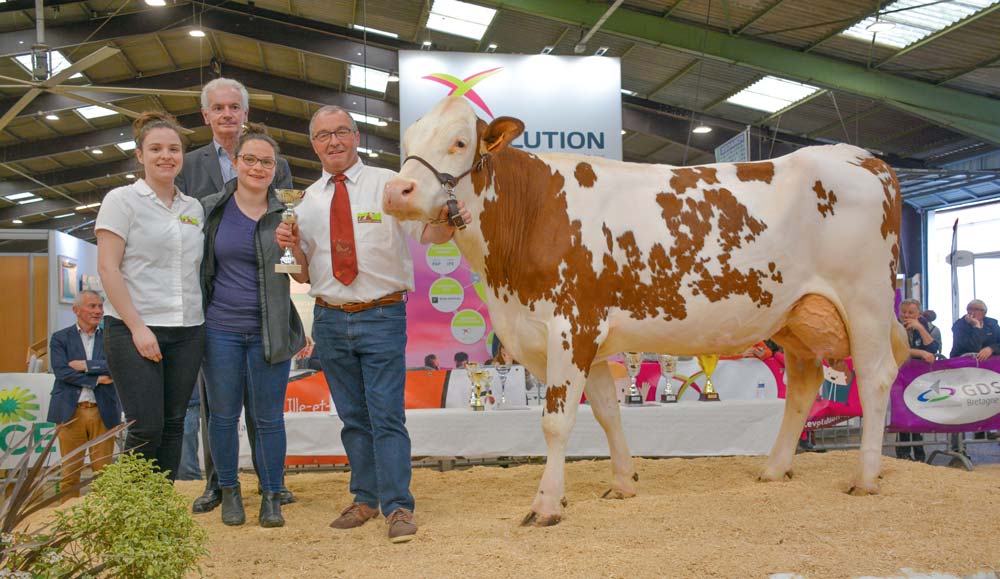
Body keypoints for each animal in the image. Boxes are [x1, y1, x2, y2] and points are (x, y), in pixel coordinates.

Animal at [384, 97, 916, 528]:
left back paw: (866, 477)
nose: (395, 192)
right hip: (796, 316)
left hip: (866, 300)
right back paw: (773, 469)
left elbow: (557, 421)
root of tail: (864, 157)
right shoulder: (581, 338)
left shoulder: (570, 327)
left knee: (875, 378)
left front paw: (547, 504)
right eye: (408, 140)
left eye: (459, 142)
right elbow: (607, 412)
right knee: (804, 386)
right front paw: (623, 483)